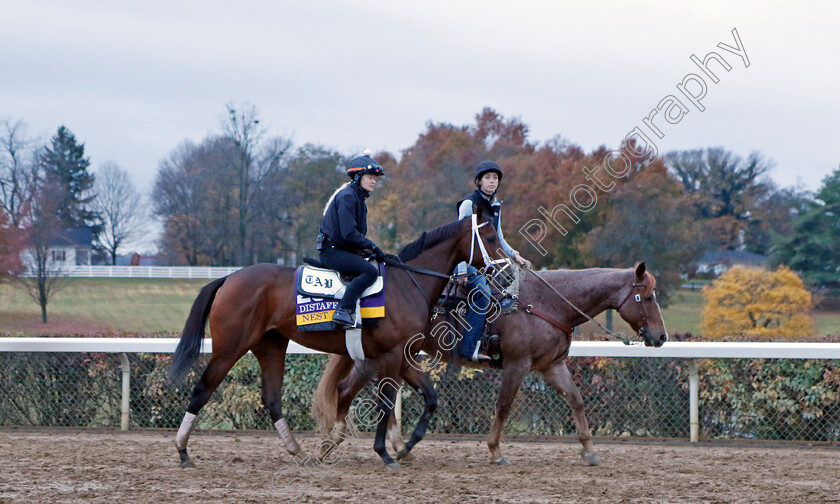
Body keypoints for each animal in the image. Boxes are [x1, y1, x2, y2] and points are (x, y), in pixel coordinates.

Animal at [166, 208, 506, 468]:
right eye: (491, 237)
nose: (507, 273)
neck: (409, 283)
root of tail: (229, 278)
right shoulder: (392, 355)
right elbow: (385, 402)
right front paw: (385, 453)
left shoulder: (401, 357)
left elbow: (430, 398)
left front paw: (405, 447)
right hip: (230, 348)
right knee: (202, 390)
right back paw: (182, 450)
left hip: (271, 346)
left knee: (272, 398)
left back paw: (298, 451)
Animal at [312, 264, 668, 464]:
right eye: (648, 297)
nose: (662, 336)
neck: (544, 303)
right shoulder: (517, 366)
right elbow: (503, 406)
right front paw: (496, 451)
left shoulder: (551, 366)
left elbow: (577, 400)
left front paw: (588, 450)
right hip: (378, 359)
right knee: (346, 391)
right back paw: (334, 443)